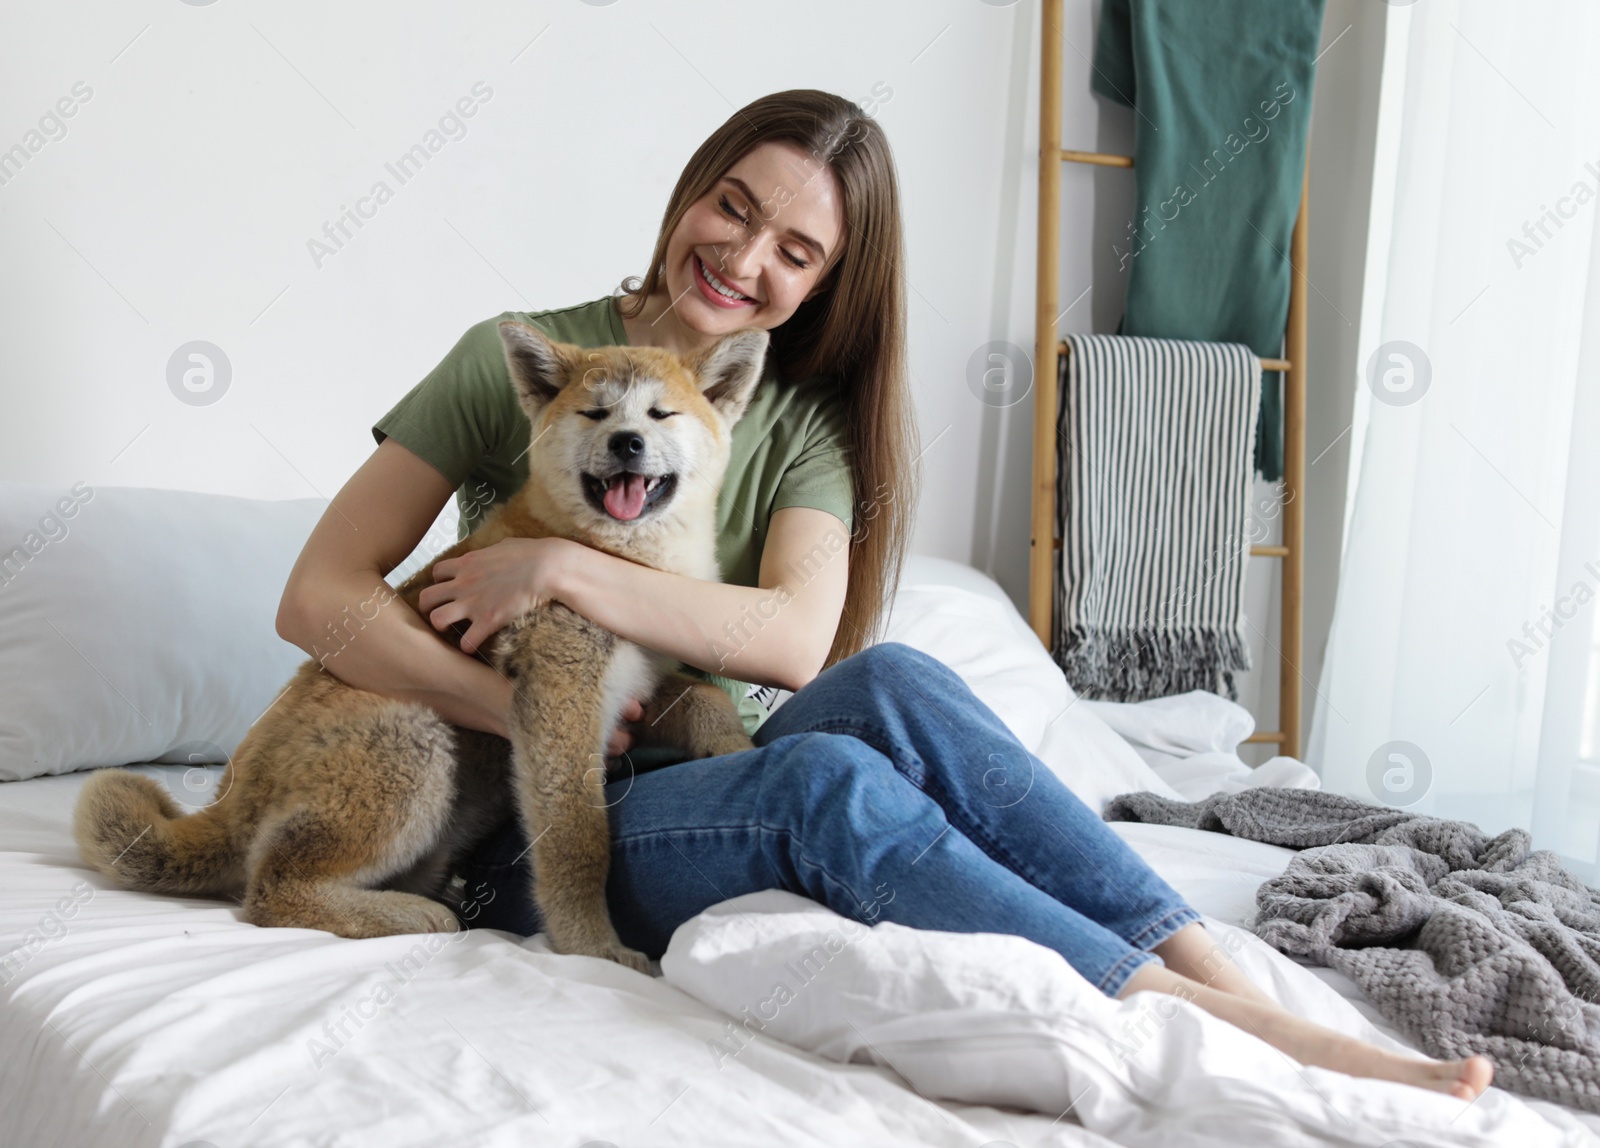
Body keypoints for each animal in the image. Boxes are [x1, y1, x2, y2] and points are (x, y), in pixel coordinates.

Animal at [75, 321, 768, 972]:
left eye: (661, 414)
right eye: (595, 413)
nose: (627, 442)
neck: (607, 553)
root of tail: (228, 800)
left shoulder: (631, 688)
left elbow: (704, 697)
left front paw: (737, 749)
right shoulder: (559, 701)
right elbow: (578, 841)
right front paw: (590, 946)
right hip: (413, 738)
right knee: (270, 892)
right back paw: (412, 915)